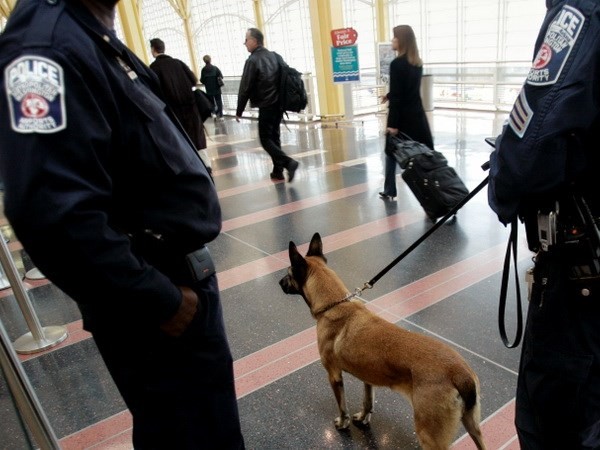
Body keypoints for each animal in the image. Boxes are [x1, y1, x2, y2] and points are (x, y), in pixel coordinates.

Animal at [278, 234, 486, 450]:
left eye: (288, 273)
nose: (278, 282)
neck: (334, 304)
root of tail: (461, 374)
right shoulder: (368, 377)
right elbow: (368, 402)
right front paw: (363, 418)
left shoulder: (334, 375)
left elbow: (342, 406)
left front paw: (343, 423)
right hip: (473, 426)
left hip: (430, 436)